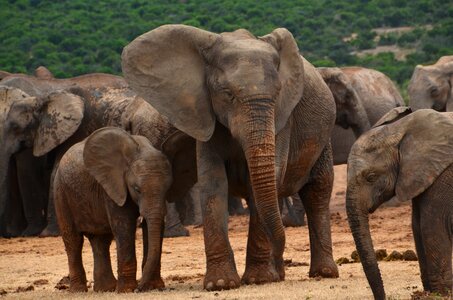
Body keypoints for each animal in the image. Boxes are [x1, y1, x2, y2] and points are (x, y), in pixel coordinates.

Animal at [54, 127, 171, 292]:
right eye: (137, 189)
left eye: (168, 189)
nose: (140, 288)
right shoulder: (112, 186)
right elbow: (124, 226)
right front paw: (127, 291)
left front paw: (153, 287)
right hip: (60, 192)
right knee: (73, 240)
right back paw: (78, 291)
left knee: (101, 241)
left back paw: (105, 289)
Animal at [122, 24, 338, 290]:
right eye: (227, 94)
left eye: (278, 93)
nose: (282, 260)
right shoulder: (204, 113)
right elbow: (213, 183)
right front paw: (221, 283)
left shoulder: (283, 118)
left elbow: (265, 182)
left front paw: (258, 279)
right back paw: (281, 274)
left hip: (324, 136)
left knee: (318, 190)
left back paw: (322, 273)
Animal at [344, 108, 450, 300]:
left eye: (371, 177)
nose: (384, 298)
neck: (400, 130)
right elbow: (417, 225)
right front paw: (428, 293)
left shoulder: (442, 174)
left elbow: (432, 225)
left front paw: (442, 294)